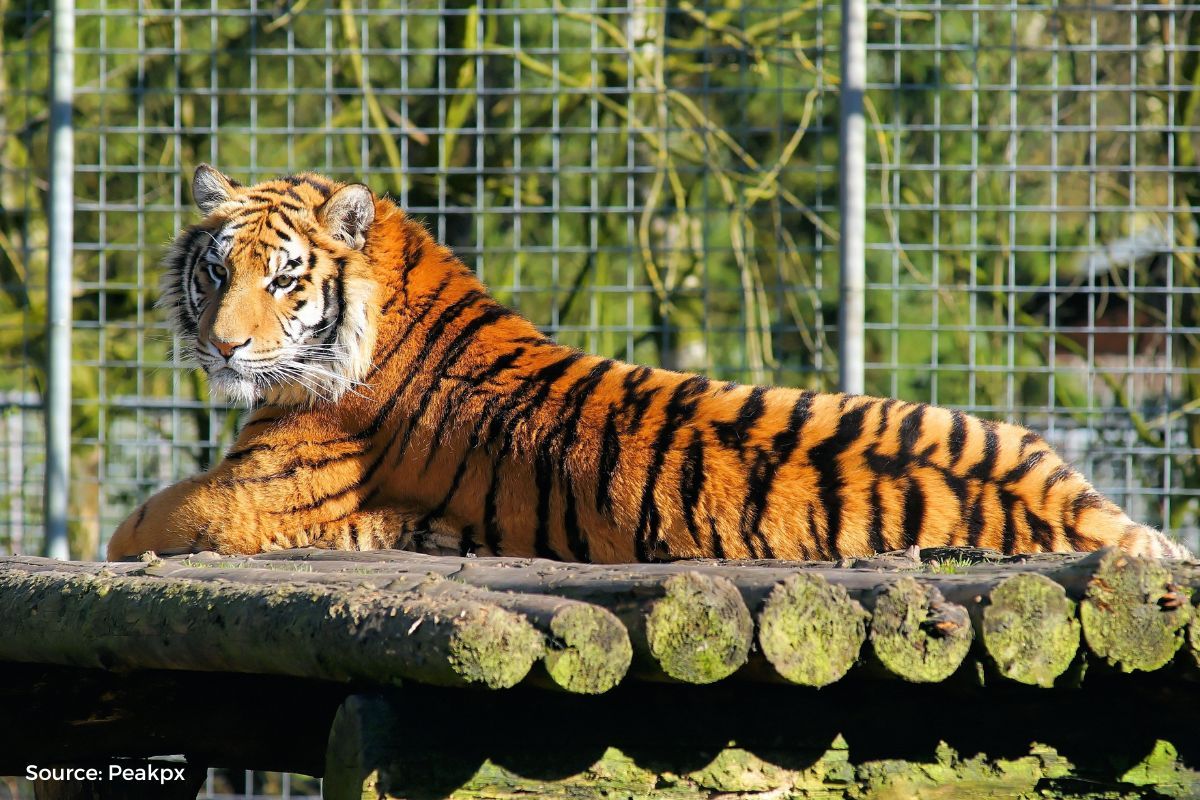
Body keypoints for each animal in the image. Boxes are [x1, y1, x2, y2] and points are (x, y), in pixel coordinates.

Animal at [105, 165, 1190, 562]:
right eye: (216, 271)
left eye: (285, 279)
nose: (225, 344)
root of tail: (1082, 509)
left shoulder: (240, 500)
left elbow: (131, 525)